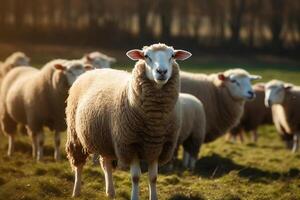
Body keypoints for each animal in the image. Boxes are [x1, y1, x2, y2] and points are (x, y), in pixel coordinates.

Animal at [66, 43, 192, 198]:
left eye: (172, 56)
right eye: (146, 56)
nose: (161, 71)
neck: (154, 122)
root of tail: (93, 70)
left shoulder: (157, 147)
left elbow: (153, 177)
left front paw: (153, 197)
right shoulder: (130, 144)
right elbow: (136, 177)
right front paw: (134, 197)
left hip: (105, 139)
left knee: (106, 164)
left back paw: (110, 192)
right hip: (75, 133)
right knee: (78, 163)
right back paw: (76, 191)